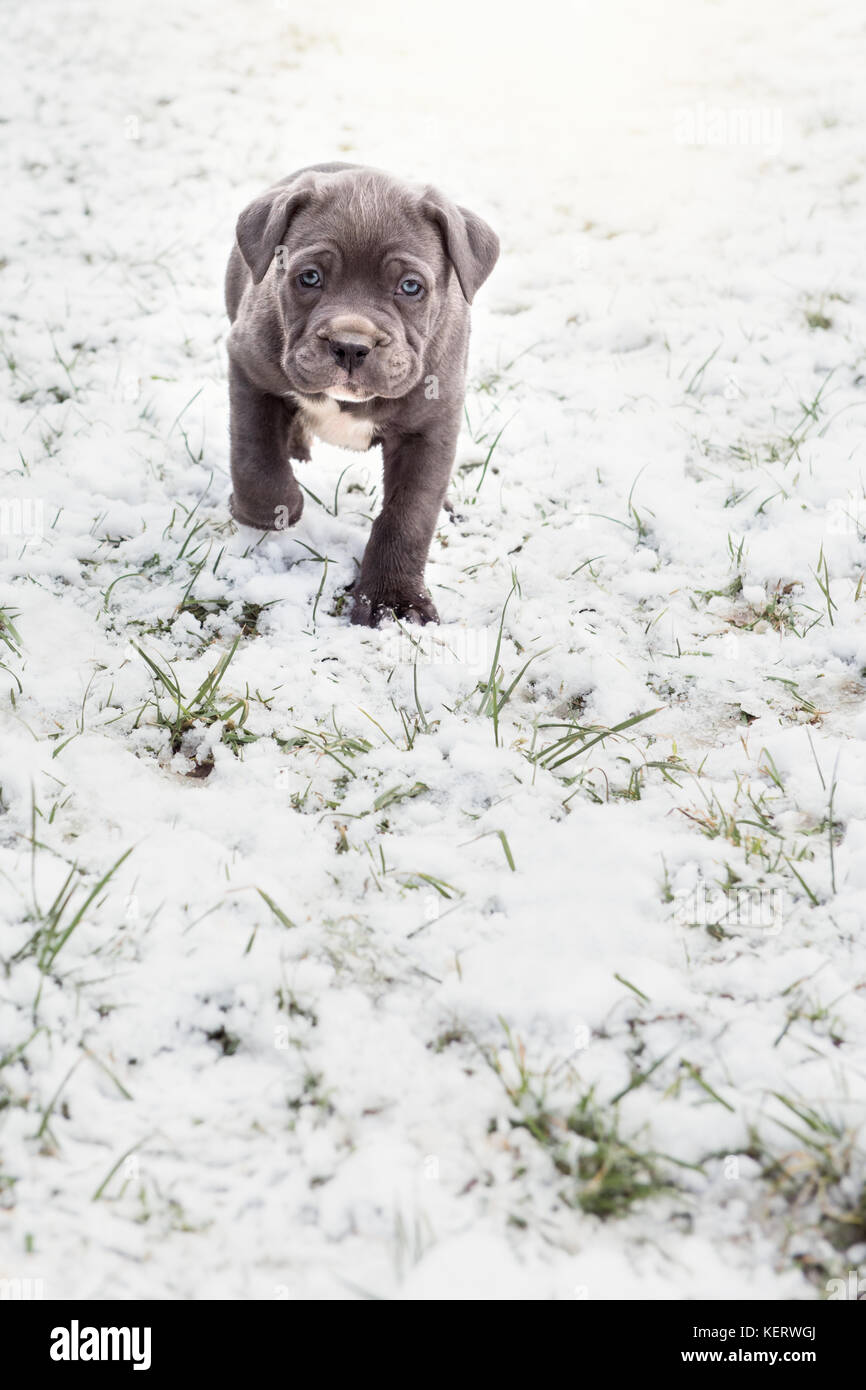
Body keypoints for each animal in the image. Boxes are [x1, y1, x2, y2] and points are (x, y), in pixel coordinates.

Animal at [223, 159, 497, 631]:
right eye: (309, 278)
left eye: (410, 287)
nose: (350, 345)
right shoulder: (249, 368)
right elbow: (256, 461)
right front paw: (273, 511)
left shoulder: (431, 428)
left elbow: (408, 516)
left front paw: (395, 601)